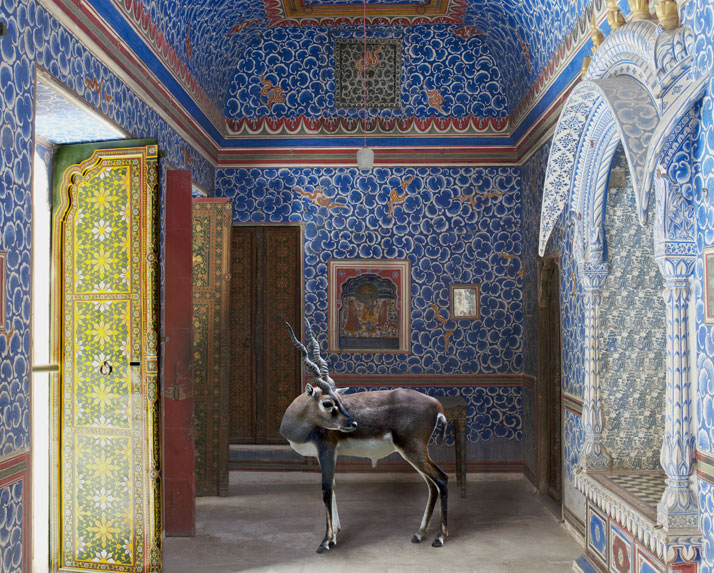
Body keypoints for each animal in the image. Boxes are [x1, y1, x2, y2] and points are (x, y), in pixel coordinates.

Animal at [278, 320, 444, 552]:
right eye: (328, 402)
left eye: (339, 400)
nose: (353, 423)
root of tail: (437, 404)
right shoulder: (327, 455)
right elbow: (334, 487)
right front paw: (335, 536)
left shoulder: (326, 450)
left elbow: (326, 490)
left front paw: (325, 542)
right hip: (414, 452)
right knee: (432, 485)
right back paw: (419, 534)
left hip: (413, 449)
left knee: (441, 480)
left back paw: (440, 538)